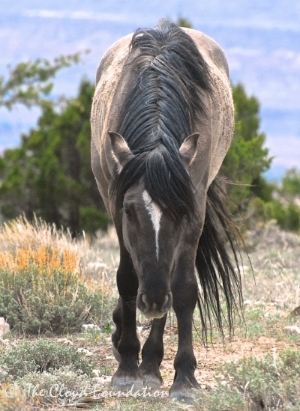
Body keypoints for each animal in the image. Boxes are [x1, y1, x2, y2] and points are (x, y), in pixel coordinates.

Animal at [90, 20, 243, 402]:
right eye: (130, 212)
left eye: (181, 212)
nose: (155, 300)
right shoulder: (114, 206)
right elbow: (127, 280)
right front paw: (127, 367)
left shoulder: (195, 208)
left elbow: (185, 289)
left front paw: (184, 378)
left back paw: (152, 362)